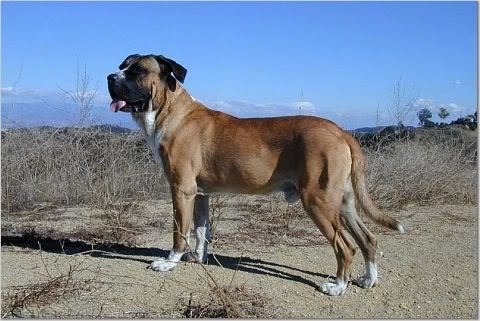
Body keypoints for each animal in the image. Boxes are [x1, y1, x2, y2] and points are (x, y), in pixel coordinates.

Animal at [107, 53, 404, 296]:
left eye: (138, 70)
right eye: (122, 66)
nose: (110, 77)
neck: (169, 110)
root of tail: (341, 131)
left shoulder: (181, 191)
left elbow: (179, 232)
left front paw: (169, 262)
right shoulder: (200, 195)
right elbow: (201, 231)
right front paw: (199, 259)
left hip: (318, 201)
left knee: (346, 246)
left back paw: (338, 287)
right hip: (342, 202)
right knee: (367, 239)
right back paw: (368, 280)